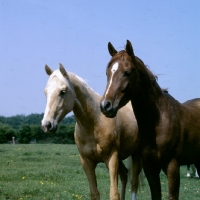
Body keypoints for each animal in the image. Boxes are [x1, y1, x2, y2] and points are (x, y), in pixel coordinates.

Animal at [41, 64, 142, 200]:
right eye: (46, 92)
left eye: (62, 91)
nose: (47, 124)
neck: (94, 124)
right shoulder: (87, 162)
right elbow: (94, 193)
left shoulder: (111, 158)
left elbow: (113, 194)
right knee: (124, 176)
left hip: (136, 155)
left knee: (134, 183)